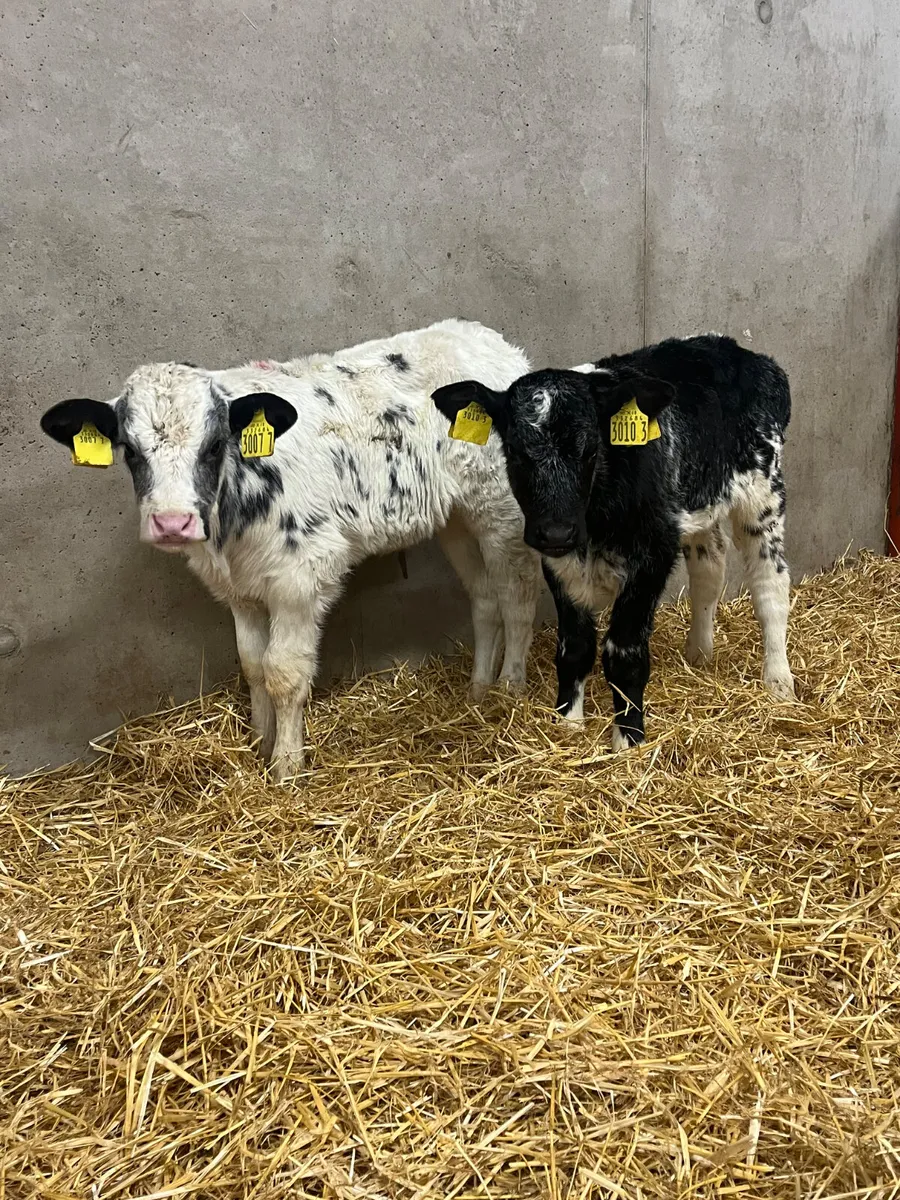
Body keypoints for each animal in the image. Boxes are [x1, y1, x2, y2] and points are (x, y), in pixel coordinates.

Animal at [40, 319, 541, 780]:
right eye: (129, 450)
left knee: (517, 596)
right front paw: (259, 745)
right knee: (485, 598)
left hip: (502, 508)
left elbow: (283, 672)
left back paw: (511, 691)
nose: (172, 523)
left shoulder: (302, 576)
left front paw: (286, 766)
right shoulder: (239, 590)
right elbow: (252, 666)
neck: (231, 528)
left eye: (214, 445)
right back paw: (478, 690)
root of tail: (483, 336)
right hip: (457, 517)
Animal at [432, 334, 795, 751]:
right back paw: (700, 654)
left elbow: (623, 651)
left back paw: (778, 681)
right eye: (517, 453)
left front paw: (628, 739)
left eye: (591, 450)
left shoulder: (654, 553)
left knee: (770, 585)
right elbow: (574, 647)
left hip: (763, 494)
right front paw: (568, 723)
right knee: (710, 569)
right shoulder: (557, 561)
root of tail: (733, 348)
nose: (556, 531)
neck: (595, 521)